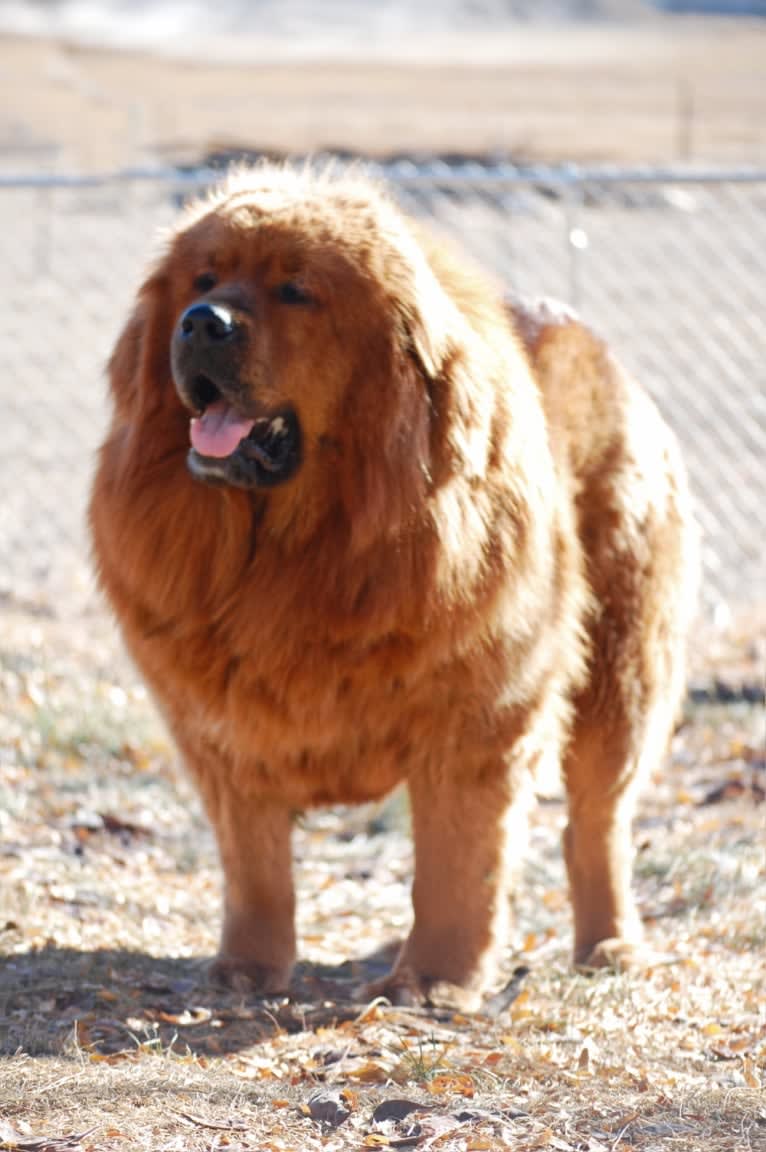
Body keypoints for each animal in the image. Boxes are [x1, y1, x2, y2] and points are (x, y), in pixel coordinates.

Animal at [88, 164, 691, 1009]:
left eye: (295, 291)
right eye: (202, 282)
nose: (201, 324)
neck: (302, 551)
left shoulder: (477, 714)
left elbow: (456, 866)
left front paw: (435, 982)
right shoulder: (220, 731)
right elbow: (256, 864)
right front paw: (247, 968)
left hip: (620, 671)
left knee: (595, 823)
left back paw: (609, 947)